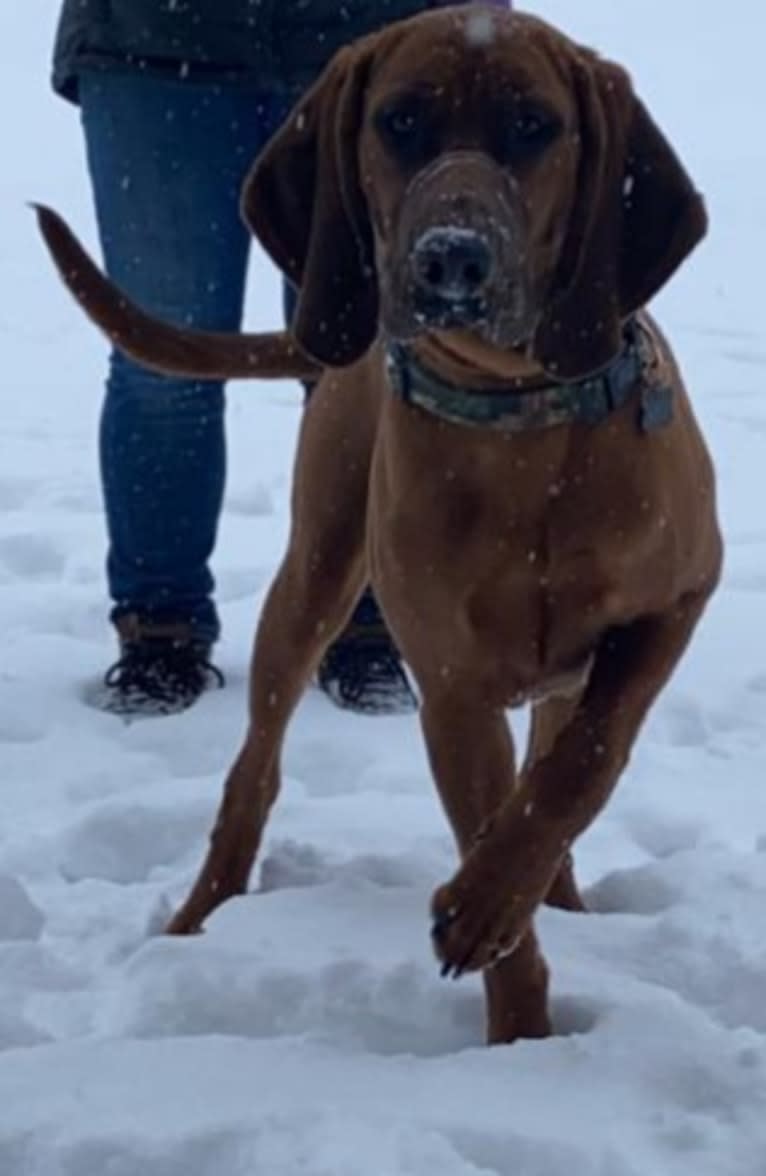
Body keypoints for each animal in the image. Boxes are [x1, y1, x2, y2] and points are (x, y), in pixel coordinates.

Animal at [35, 6, 720, 1039]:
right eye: (398, 122)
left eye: (535, 125)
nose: (451, 259)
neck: (520, 418)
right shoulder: (454, 689)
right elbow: (504, 829)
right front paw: (518, 1029)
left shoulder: (678, 599)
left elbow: (581, 766)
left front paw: (496, 908)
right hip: (311, 580)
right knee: (253, 774)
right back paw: (198, 916)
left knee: (555, 762)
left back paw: (560, 896)